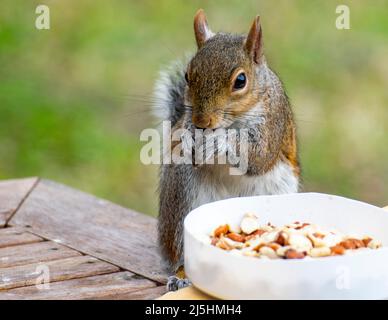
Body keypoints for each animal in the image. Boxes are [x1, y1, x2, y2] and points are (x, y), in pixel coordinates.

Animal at [153, 9, 298, 284]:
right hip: (181, 192)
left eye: (240, 80)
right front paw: (188, 136)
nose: (201, 121)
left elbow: (258, 156)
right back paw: (182, 274)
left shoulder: (274, 120)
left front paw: (218, 141)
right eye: (188, 75)